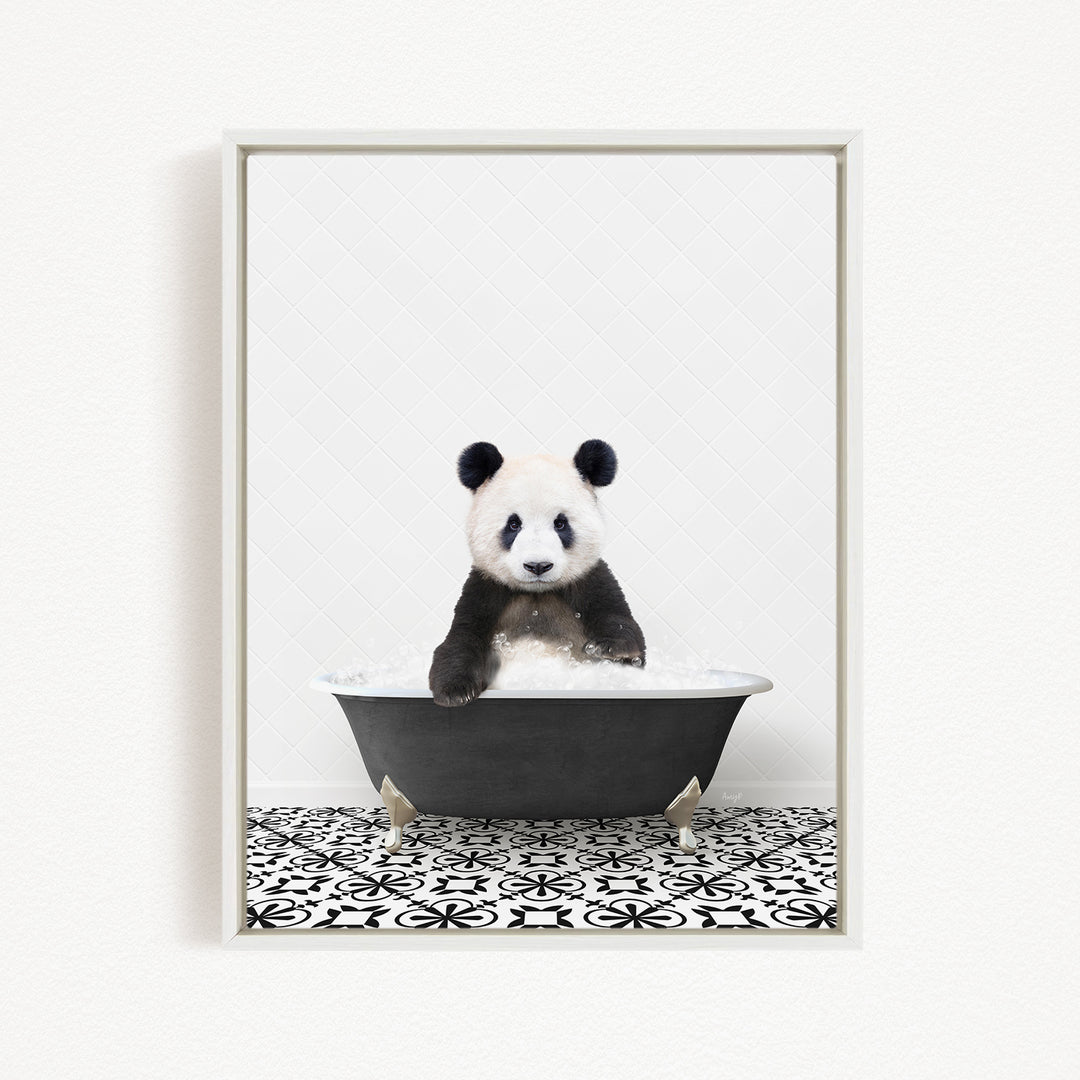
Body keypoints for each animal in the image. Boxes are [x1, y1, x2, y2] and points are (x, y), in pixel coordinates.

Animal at [429, 438, 646, 707]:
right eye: (513, 524)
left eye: (560, 523)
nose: (538, 566)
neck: (537, 593)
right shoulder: (486, 587)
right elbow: (462, 637)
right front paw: (455, 691)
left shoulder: (590, 579)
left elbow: (624, 629)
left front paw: (609, 648)